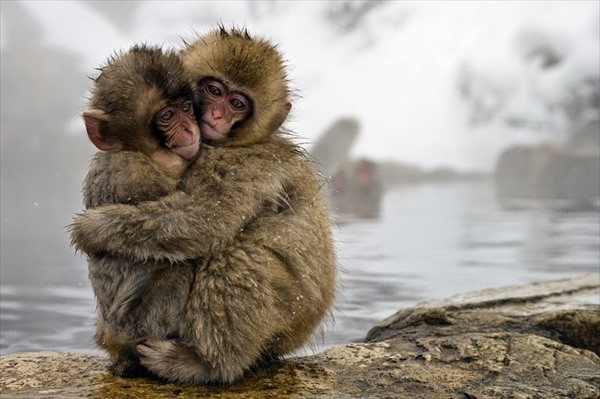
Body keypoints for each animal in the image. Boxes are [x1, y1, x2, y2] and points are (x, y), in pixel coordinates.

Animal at [70, 26, 338, 386]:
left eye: (237, 103)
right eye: (214, 90)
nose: (215, 115)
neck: (241, 143)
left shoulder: (241, 165)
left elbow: (206, 219)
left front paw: (92, 228)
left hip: (289, 318)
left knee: (237, 257)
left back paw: (206, 365)